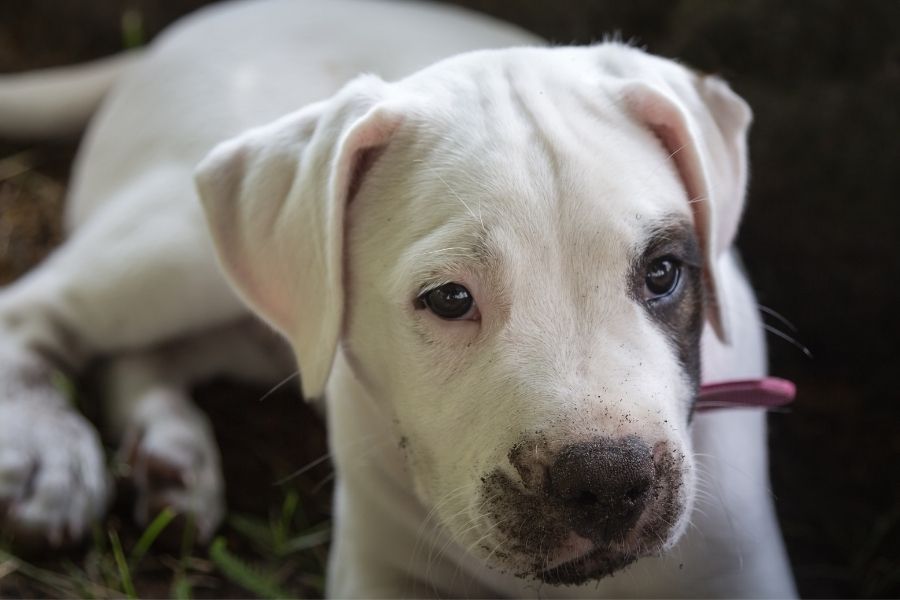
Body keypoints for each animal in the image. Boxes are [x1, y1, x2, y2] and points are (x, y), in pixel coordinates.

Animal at [0, 0, 800, 596]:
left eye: (663, 273)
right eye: (448, 298)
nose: (605, 481)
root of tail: (185, 32)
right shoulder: (380, 575)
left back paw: (170, 455)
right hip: (185, 243)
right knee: (33, 310)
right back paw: (50, 460)